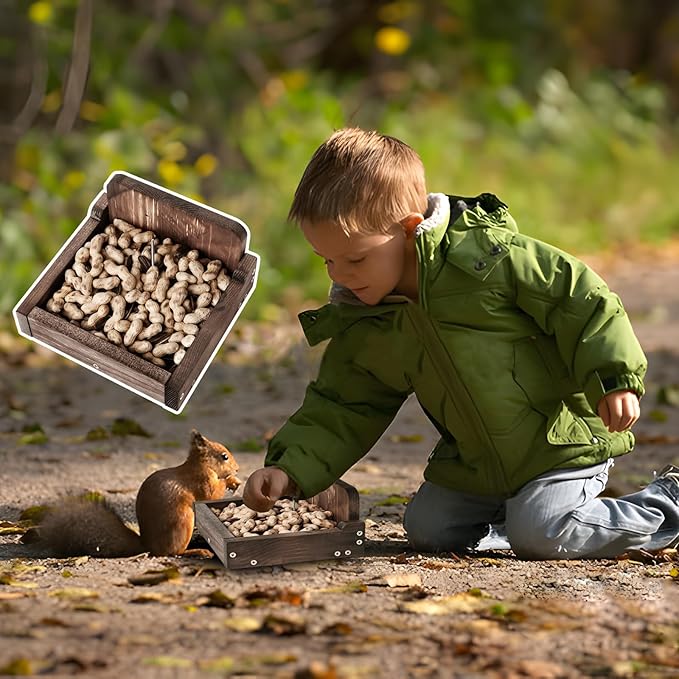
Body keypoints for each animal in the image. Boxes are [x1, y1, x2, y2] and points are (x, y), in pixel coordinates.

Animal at [27, 429, 241, 557]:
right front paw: (230, 480)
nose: (238, 469)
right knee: (171, 553)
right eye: (224, 456)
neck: (200, 465)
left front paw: (234, 481)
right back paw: (196, 551)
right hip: (183, 521)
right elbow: (211, 495)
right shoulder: (202, 481)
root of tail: (148, 546)